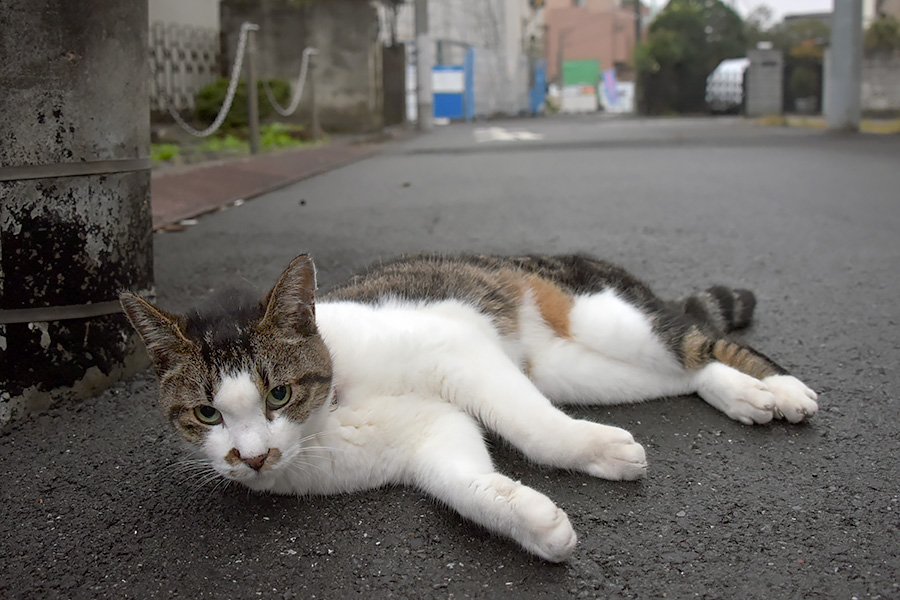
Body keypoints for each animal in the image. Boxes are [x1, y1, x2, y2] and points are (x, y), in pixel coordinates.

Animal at [118, 253, 816, 564]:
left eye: (278, 394)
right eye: (207, 415)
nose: (252, 457)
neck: (333, 411)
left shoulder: (460, 352)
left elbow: (533, 428)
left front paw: (593, 450)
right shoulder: (427, 434)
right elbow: (462, 481)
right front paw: (535, 523)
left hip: (606, 320)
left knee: (696, 343)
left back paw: (779, 387)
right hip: (575, 371)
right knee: (683, 375)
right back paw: (745, 396)